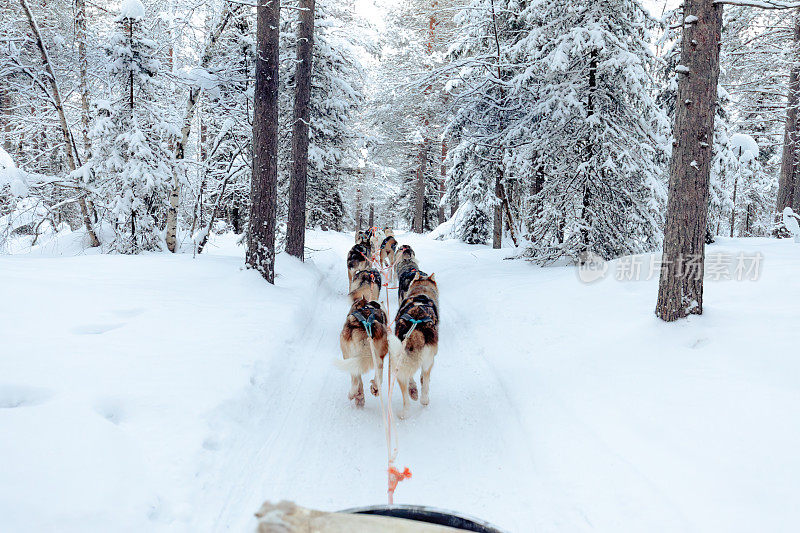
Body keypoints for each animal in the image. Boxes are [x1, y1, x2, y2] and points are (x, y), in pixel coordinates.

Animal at [392, 288, 438, 418]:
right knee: (425, 382)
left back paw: (406, 410)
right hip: (428, 362)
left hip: (399, 367)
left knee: (406, 395)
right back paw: (424, 400)